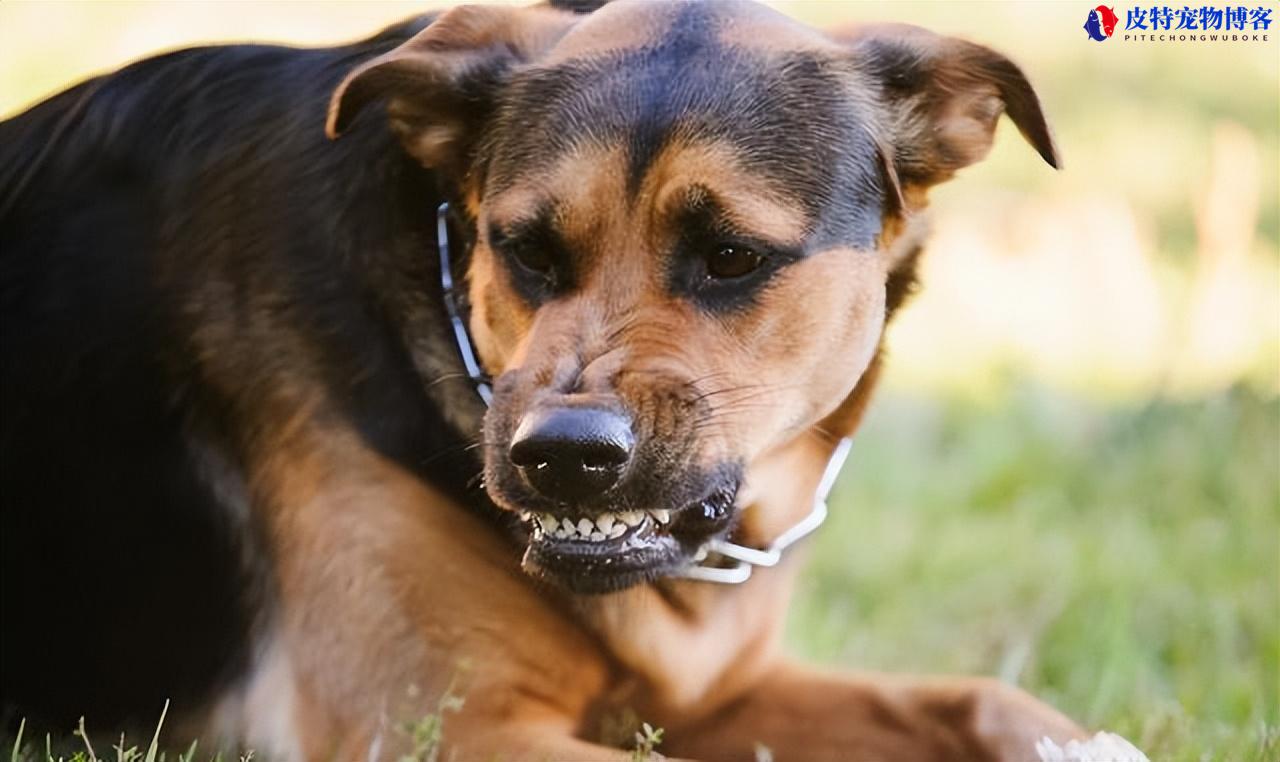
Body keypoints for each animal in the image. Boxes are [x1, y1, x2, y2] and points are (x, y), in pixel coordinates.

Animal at [0, 0, 1080, 758]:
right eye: (526, 251)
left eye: (730, 256)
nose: (563, 457)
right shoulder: (451, 728)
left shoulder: (715, 692)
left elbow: (981, 700)